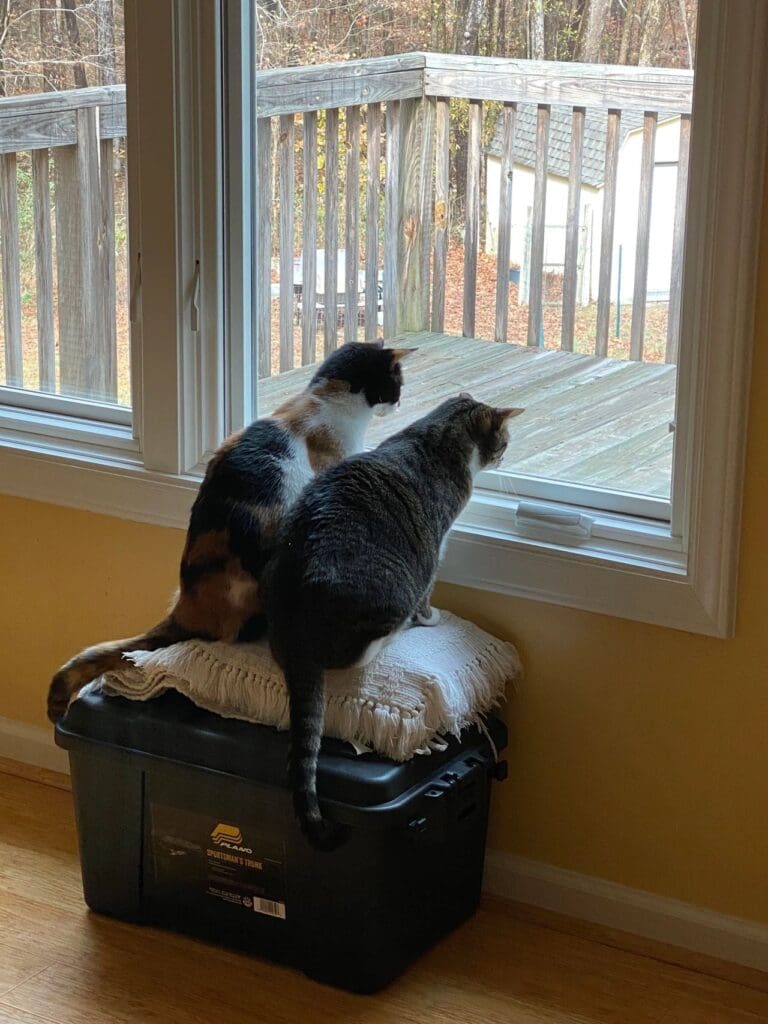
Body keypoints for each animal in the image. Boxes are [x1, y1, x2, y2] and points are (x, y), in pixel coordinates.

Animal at [264, 391, 524, 847]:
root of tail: (297, 636)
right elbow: (429, 592)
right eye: (503, 440)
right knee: (358, 652)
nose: (505, 455)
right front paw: (431, 618)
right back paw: (395, 633)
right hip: (392, 592)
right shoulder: (435, 548)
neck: (437, 437)